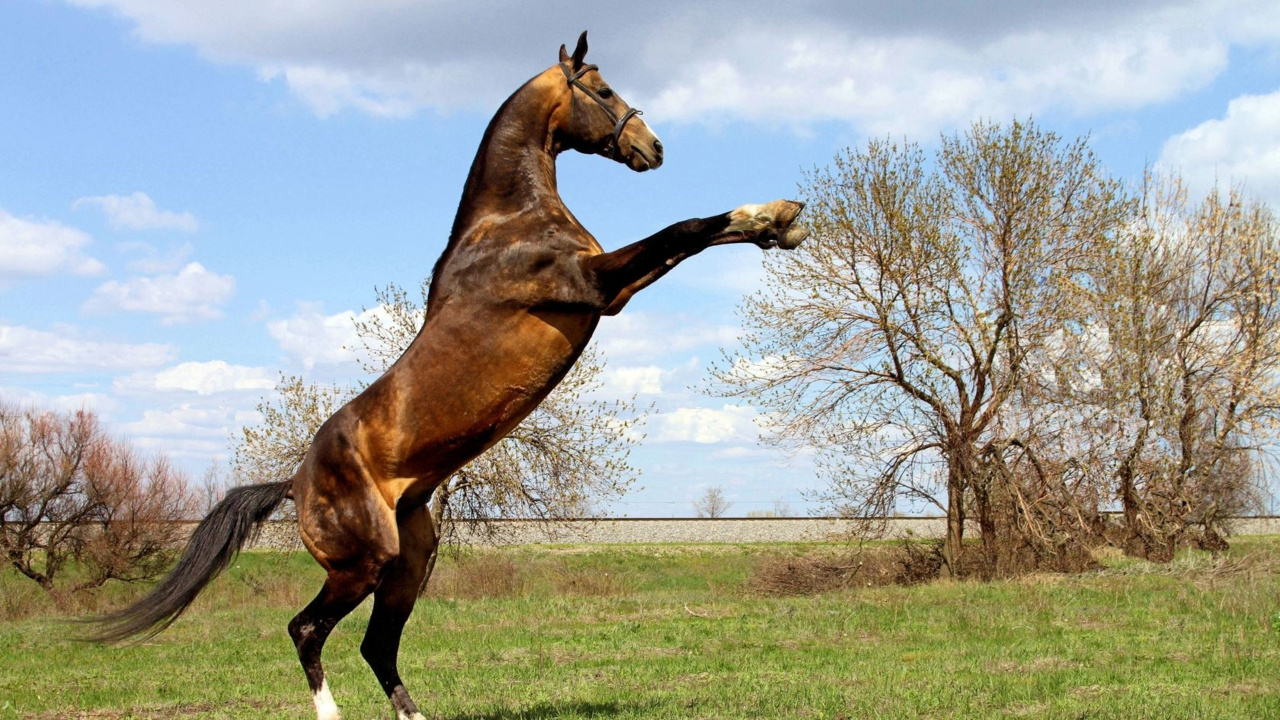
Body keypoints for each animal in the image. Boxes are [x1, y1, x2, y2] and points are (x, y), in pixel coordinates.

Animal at [91, 31, 808, 720]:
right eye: (602, 90)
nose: (652, 147)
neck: (507, 223)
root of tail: (292, 483)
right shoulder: (593, 286)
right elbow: (684, 228)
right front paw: (773, 216)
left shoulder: (615, 291)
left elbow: (689, 239)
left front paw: (779, 224)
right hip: (364, 562)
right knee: (306, 630)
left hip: (412, 561)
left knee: (376, 645)